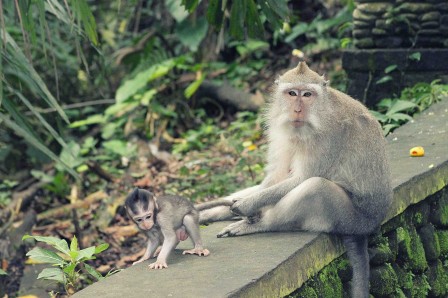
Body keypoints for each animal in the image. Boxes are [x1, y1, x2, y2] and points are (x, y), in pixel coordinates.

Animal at [200, 61, 392, 296]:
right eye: (292, 93)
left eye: (307, 94)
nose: (297, 110)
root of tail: (368, 226)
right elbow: (277, 175)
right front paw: (231, 207)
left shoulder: (328, 137)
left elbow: (303, 178)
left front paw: (246, 207)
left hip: (351, 219)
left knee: (316, 187)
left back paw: (259, 224)